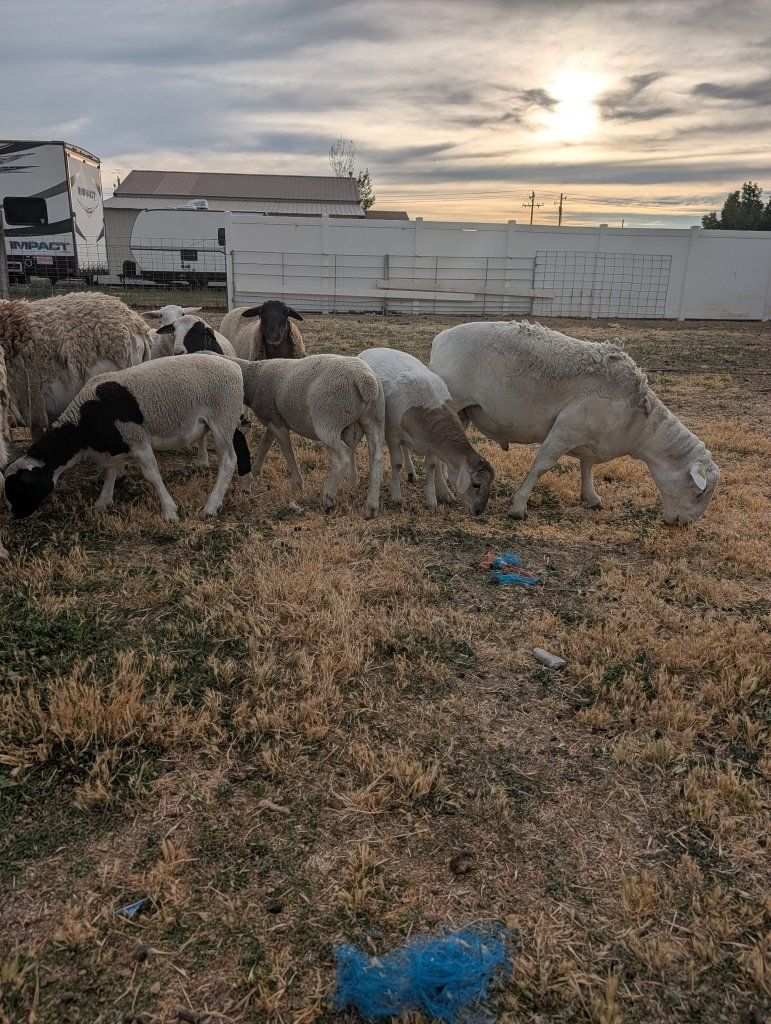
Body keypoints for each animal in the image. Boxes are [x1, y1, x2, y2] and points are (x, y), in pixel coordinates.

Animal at [3, 354, 252, 523]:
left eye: (21, 487)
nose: (14, 514)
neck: (82, 425)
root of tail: (234, 368)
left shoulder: (137, 440)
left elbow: (152, 476)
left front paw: (169, 511)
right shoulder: (116, 445)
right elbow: (111, 471)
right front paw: (103, 502)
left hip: (222, 418)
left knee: (228, 460)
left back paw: (212, 505)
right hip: (225, 420)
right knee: (239, 445)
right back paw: (243, 484)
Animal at [238, 354, 384, 518]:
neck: (254, 378)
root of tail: (365, 381)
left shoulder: (277, 422)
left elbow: (287, 451)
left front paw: (298, 483)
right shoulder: (274, 419)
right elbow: (264, 444)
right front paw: (253, 474)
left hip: (328, 421)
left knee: (342, 461)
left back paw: (328, 498)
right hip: (374, 419)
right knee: (376, 458)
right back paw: (372, 506)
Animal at [356, 348, 494, 514]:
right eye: (476, 485)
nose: (479, 511)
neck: (428, 407)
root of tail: (371, 349)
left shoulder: (431, 444)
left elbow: (432, 466)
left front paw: (431, 500)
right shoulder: (393, 435)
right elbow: (397, 463)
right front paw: (395, 495)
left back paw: (412, 474)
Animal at [430, 321, 719, 524]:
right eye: (699, 492)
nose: (683, 524)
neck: (640, 425)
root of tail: (440, 338)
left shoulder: (589, 436)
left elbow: (586, 466)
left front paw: (591, 497)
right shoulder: (566, 429)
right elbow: (542, 465)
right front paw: (518, 506)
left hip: (464, 413)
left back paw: (445, 491)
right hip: (453, 403)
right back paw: (441, 495)